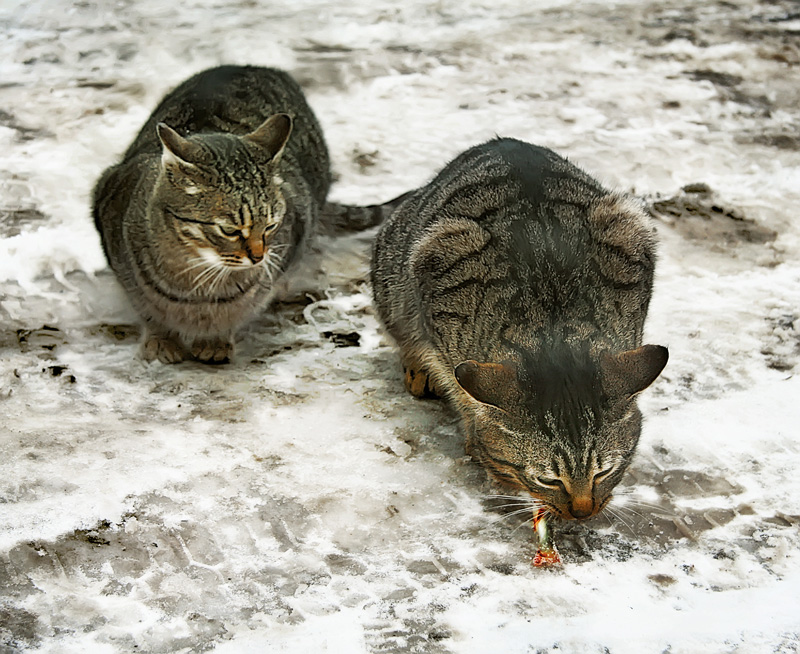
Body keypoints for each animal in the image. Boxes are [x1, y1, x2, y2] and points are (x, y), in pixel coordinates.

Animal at [93, 65, 372, 364]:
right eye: (229, 230)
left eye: (270, 226)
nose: (259, 257)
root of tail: (257, 67)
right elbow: (148, 310)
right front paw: (161, 341)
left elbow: (237, 311)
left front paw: (215, 340)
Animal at [374, 138, 668, 524]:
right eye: (548, 480)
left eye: (603, 472)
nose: (582, 512)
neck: (554, 330)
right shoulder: (434, 279)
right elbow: (457, 385)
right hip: (398, 271)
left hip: (626, 222)